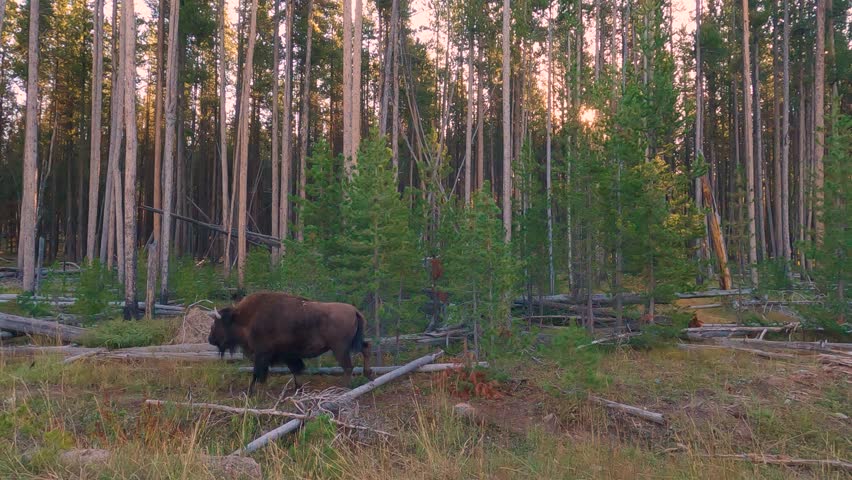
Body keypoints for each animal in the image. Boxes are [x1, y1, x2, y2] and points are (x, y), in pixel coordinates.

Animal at [207, 292, 372, 395]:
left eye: (216, 324)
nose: (210, 339)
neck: (246, 319)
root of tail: (354, 310)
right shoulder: (289, 355)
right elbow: (295, 370)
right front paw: (298, 389)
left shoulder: (262, 354)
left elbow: (258, 373)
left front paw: (252, 392)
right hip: (352, 343)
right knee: (366, 348)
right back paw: (368, 376)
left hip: (340, 348)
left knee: (348, 366)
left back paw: (344, 388)